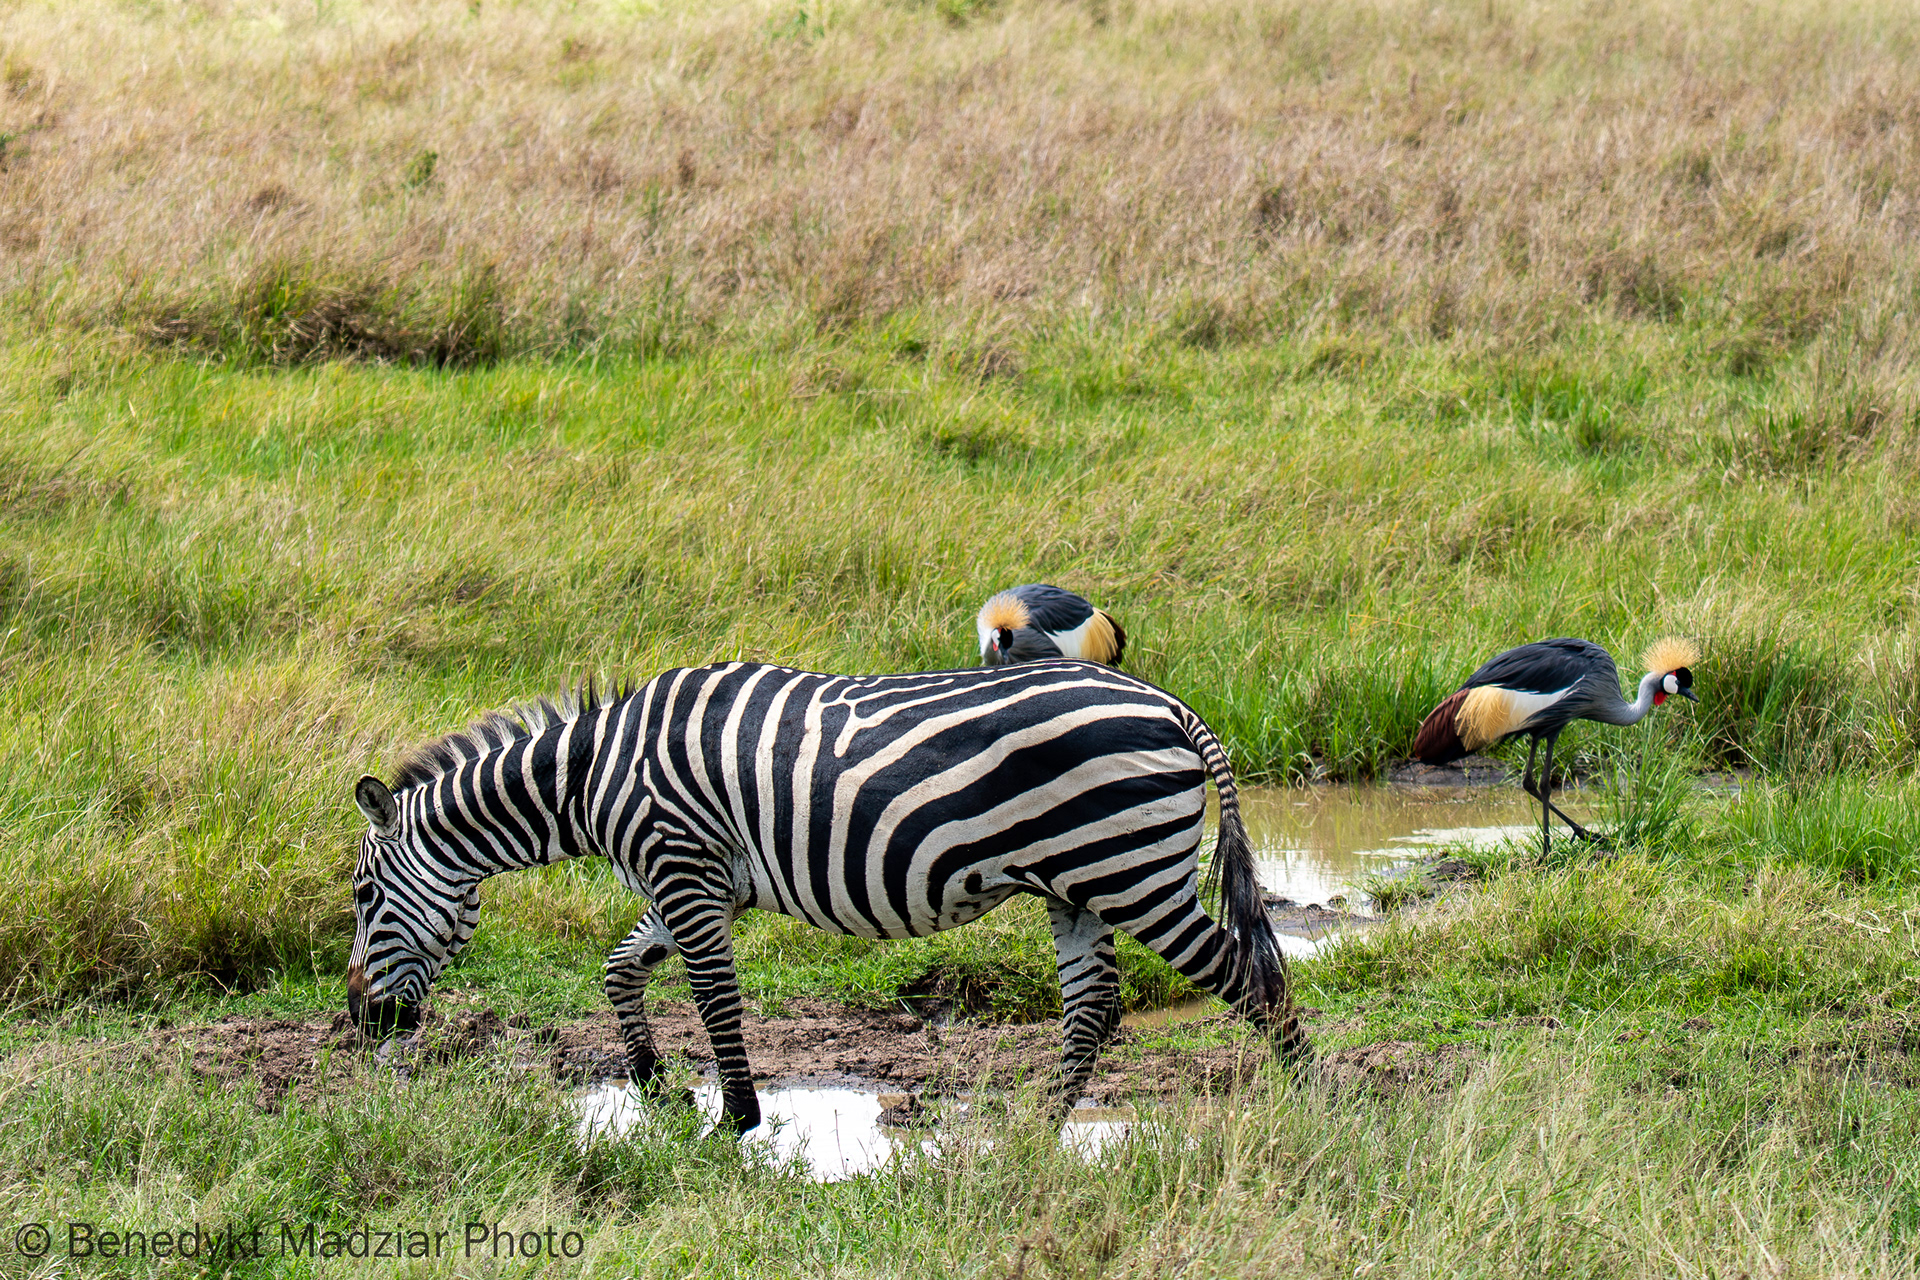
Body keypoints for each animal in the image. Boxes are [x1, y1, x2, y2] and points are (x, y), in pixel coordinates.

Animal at [347, 660, 1311, 1132]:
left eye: (361, 895)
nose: (359, 1021)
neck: (590, 777)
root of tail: (1174, 707)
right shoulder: (698, 879)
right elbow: (620, 969)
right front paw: (655, 1086)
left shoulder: (683, 868)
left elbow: (714, 999)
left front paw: (736, 1121)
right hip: (1076, 883)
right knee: (1093, 1007)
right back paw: (1035, 1132)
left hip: (1131, 872)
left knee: (1252, 979)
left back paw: (1314, 1108)